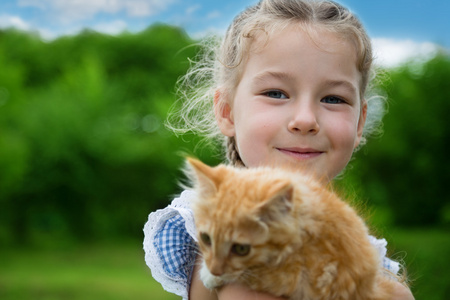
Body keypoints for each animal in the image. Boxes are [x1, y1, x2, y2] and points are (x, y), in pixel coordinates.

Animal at [186, 158, 398, 298]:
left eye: (241, 249)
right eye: (206, 238)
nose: (215, 270)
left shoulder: (303, 279)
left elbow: (250, 275)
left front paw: (209, 276)